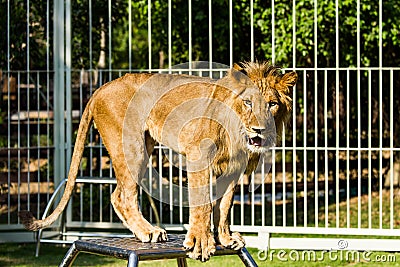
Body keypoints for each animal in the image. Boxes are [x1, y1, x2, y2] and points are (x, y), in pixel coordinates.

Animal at [18, 60, 296, 262]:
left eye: (272, 104)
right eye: (248, 102)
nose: (259, 130)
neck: (236, 131)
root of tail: (101, 87)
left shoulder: (233, 169)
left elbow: (224, 206)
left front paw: (226, 239)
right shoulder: (198, 156)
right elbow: (203, 205)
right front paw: (200, 242)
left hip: (146, 144)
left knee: (120, 194)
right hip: (132, 148)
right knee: (122, 195)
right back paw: (149, 232)